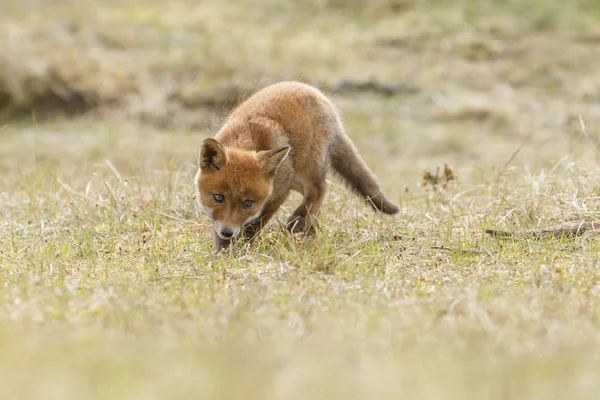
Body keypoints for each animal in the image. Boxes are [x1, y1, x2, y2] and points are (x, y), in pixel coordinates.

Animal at [196, 81, 398, 252]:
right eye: (218, 197)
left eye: (247, 203)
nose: (227, 232)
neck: (244, 141)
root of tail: (313, 90)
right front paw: (223, 251)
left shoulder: (279, 193)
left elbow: (254, 225)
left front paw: (241, 248)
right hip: (298, 179)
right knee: (315, 205)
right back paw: (311, 230)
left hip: (307, 168)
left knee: (320, 189)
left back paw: (300, 222)